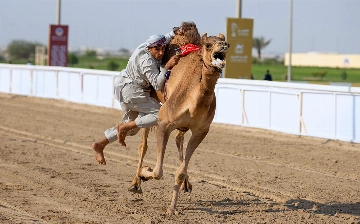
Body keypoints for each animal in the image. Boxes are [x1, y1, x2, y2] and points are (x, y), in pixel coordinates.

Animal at [128, 22, 229, 214]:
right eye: (208, 45)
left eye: (226, 42)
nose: (223, 46)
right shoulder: (164, 122)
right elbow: (158, 171)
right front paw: (145, 173)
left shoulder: (201, 131)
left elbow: (180, 172)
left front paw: (172, 208)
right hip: (149, 99)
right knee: (143, 145)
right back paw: (135, 182)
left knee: (178, 138)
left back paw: (186, 185)